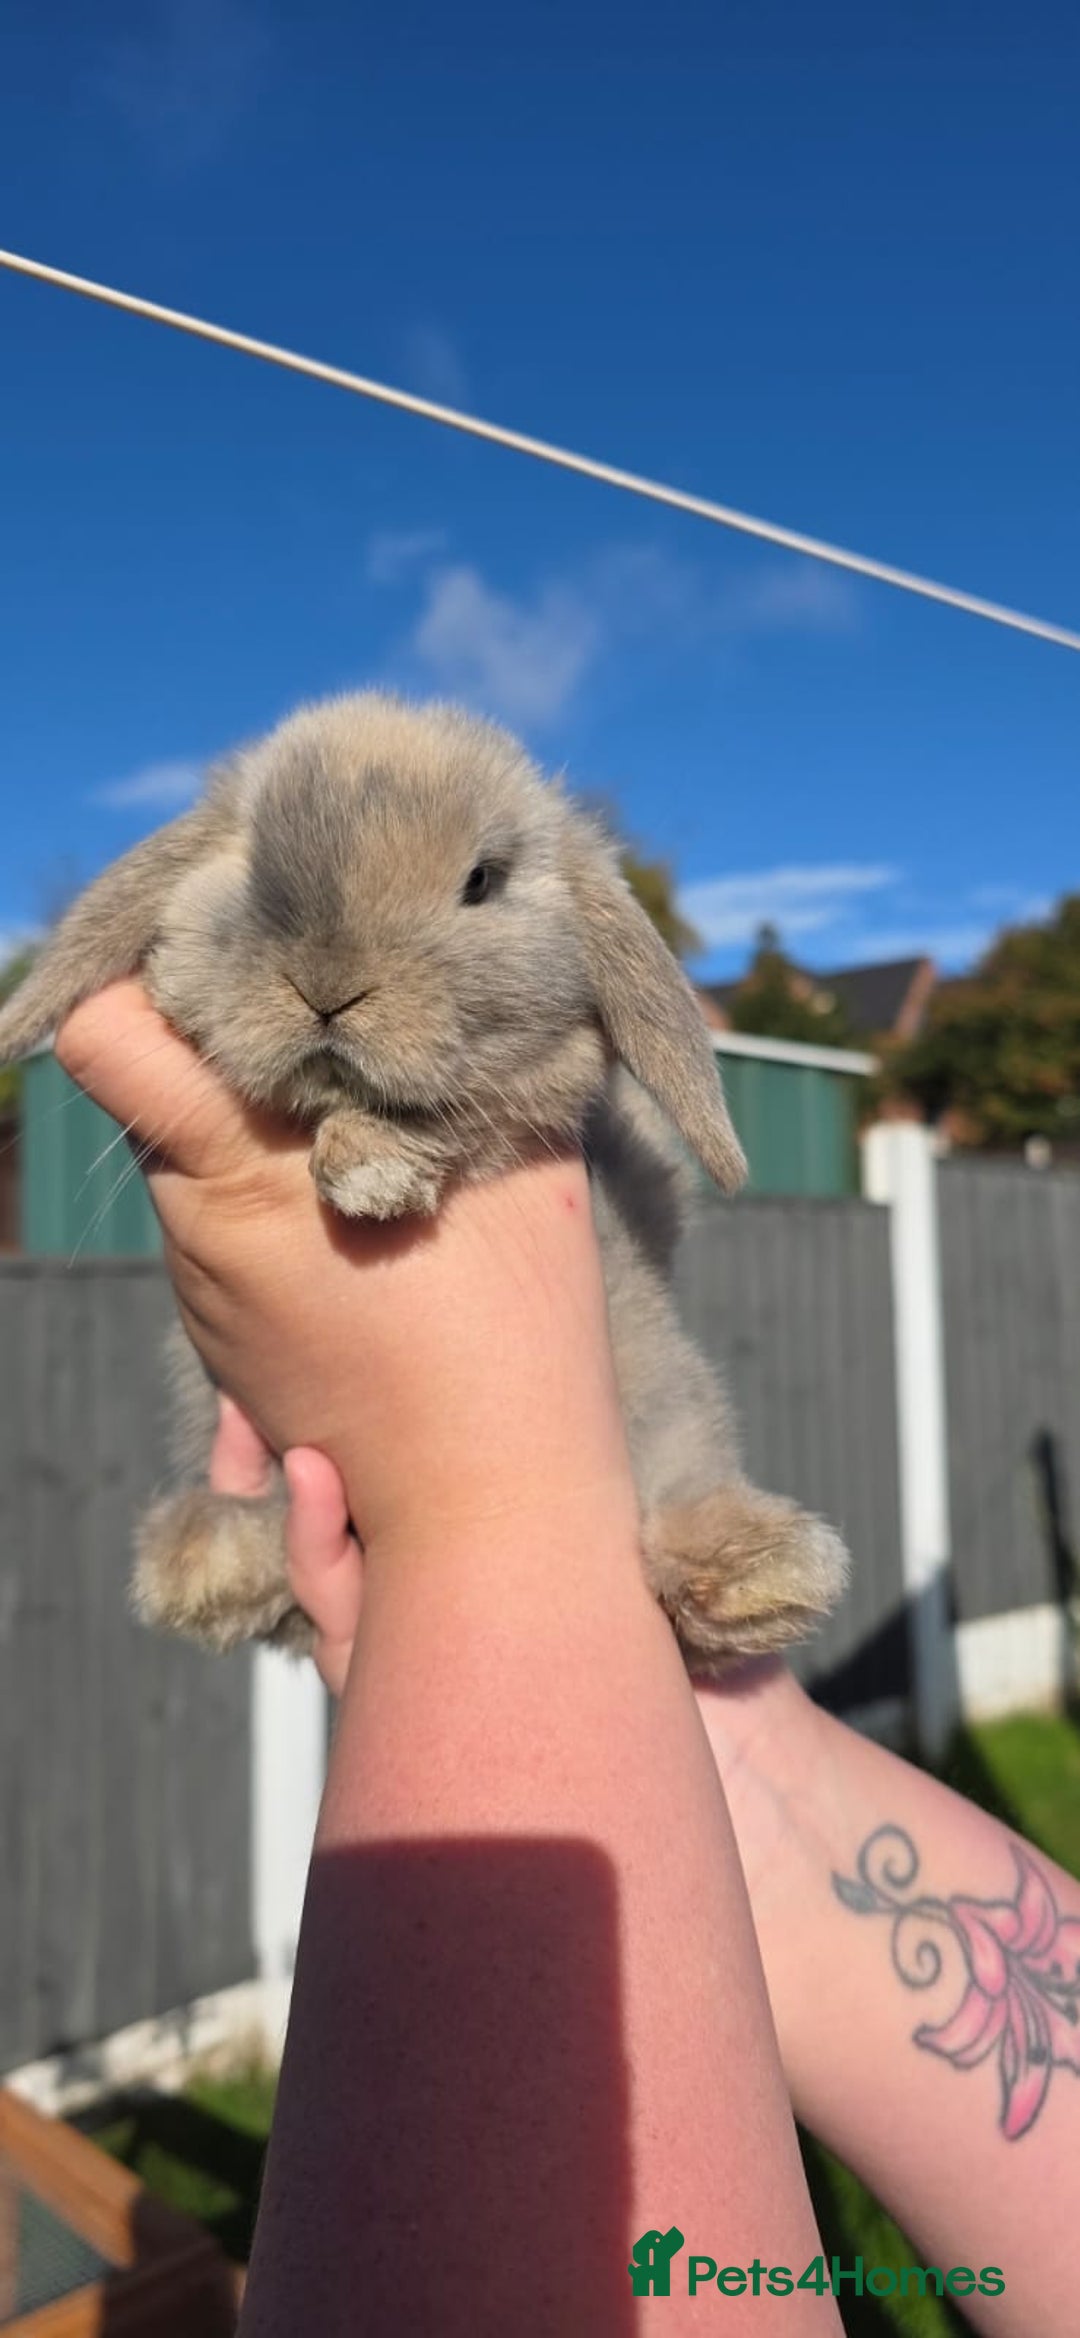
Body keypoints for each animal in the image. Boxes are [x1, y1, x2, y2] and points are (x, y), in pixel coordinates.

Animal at [0, 690, 848, 1670]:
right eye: (251, 864)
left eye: (481, 880)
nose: (328, 988)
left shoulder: (560, 1115)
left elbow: (491, 1111)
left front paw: (370, 1166)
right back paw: (208, 1565)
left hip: (664, 1385)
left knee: (690, 1477)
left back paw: (758, 1578)